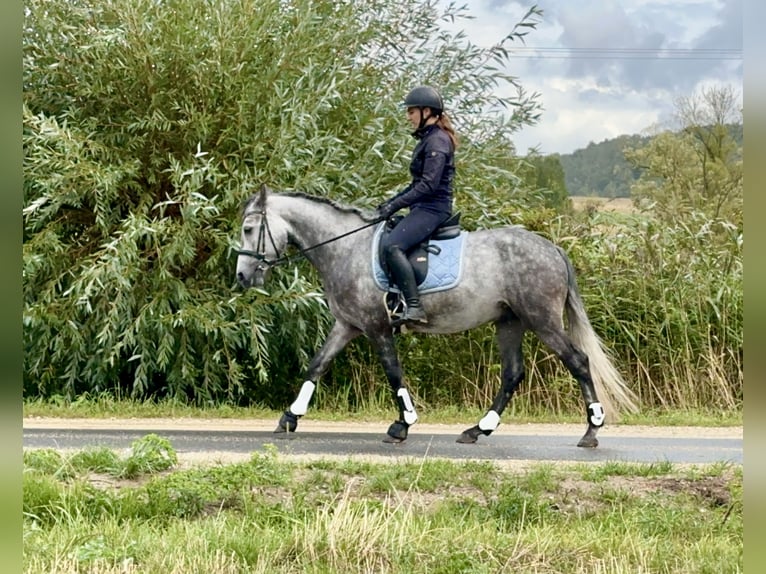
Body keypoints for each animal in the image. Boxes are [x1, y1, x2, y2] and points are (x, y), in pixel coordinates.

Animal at [237, 187, 640, 448]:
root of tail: (552, 248)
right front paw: (289, 417)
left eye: (248, 229)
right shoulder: (348, 325)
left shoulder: (377, 327)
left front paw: (403, 424)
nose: (242, 277)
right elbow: (316, 365)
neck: (344, 247)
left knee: (578, 361)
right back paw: (479, 430)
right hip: (509, 322)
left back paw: (591, 431)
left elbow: (393, 372)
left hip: (543, 320)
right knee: (512, 374)